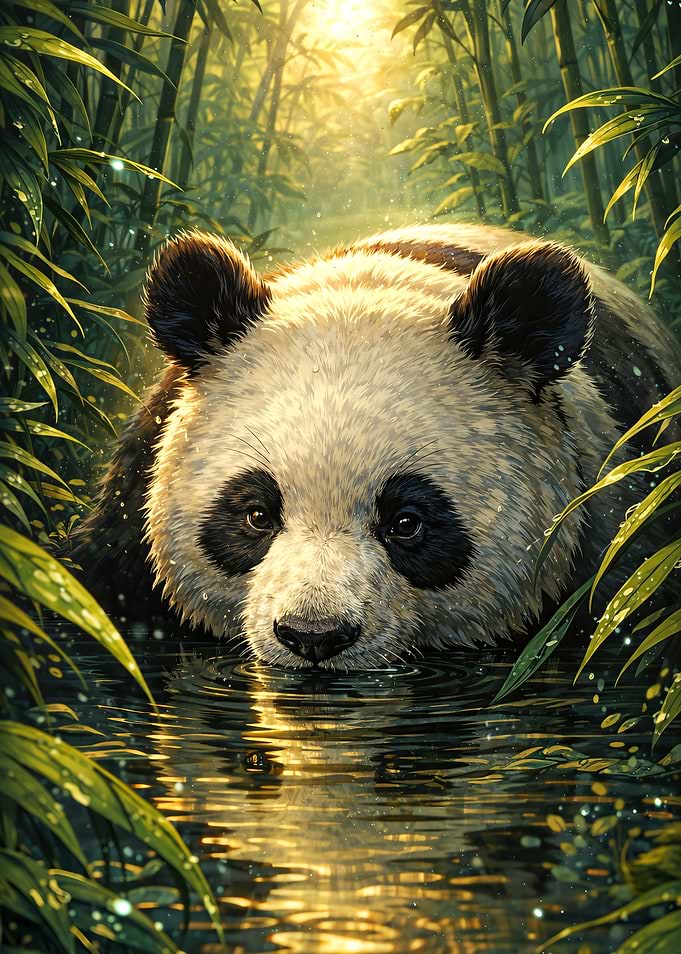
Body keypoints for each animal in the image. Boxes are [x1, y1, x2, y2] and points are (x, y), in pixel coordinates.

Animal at [73, 224, 681, 669]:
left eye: (406, 522)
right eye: (255, 514)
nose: (313, 636)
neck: (367, 288)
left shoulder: (613, 544)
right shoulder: (130, 517)